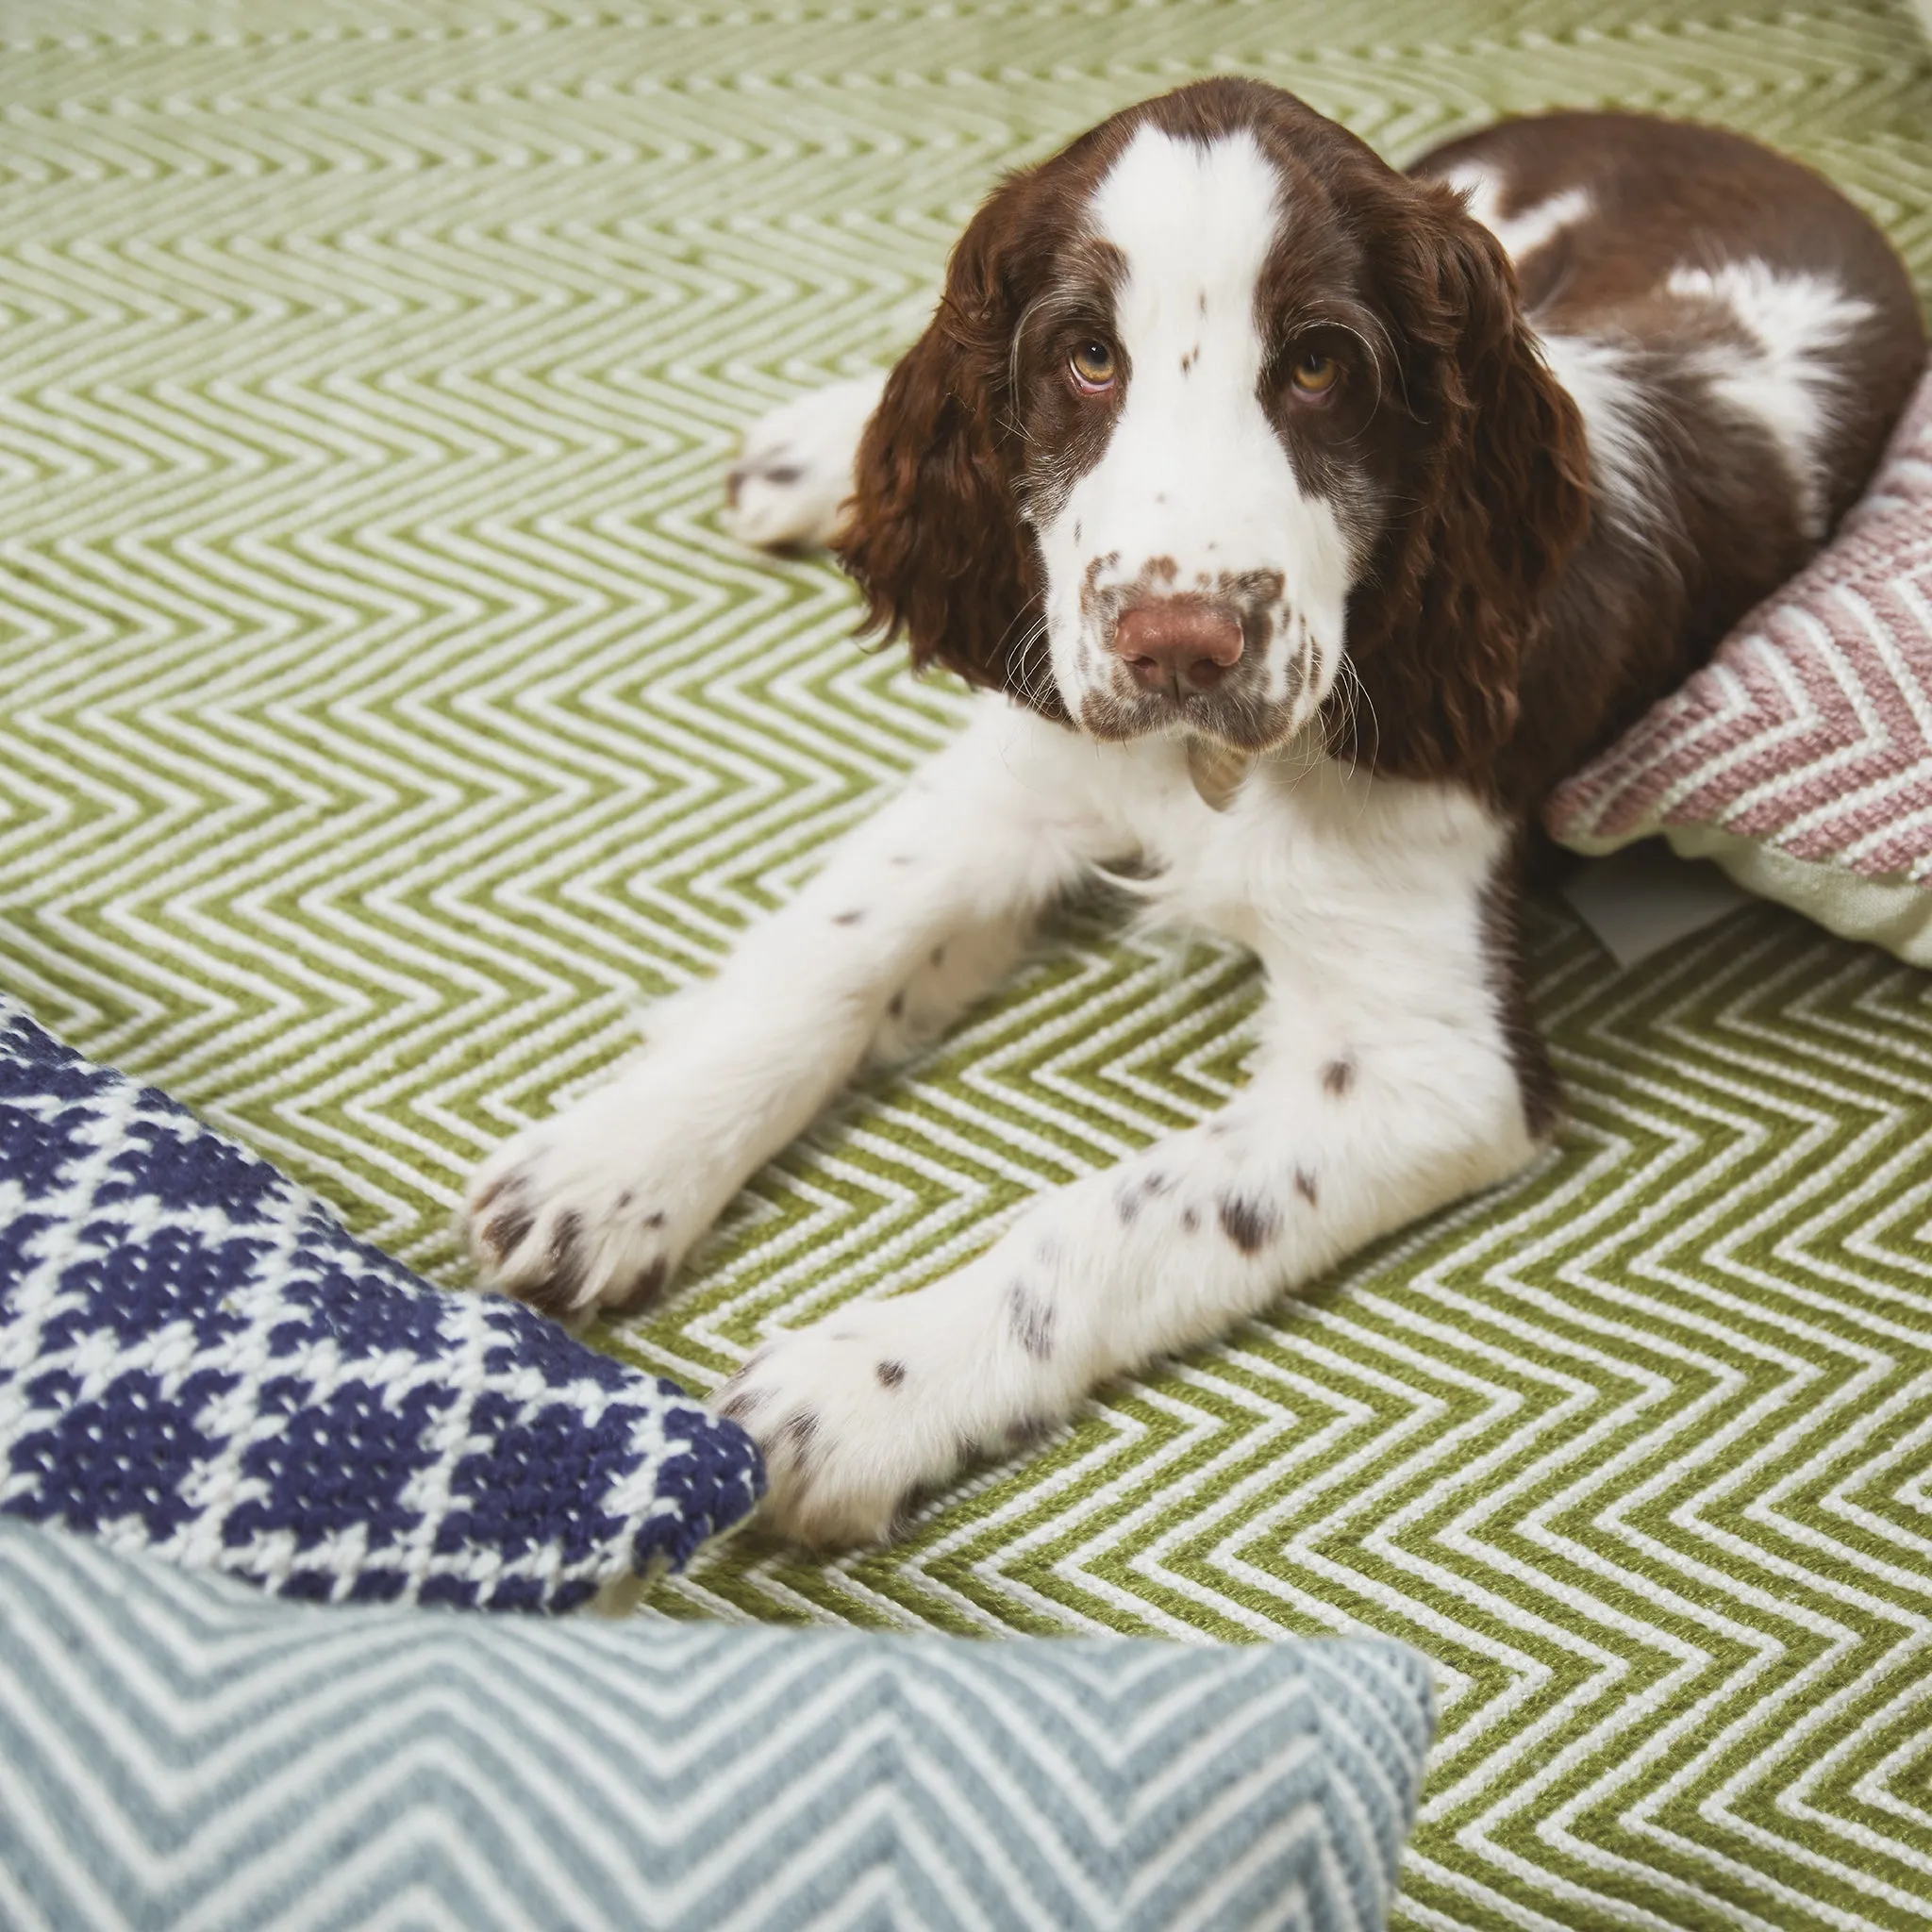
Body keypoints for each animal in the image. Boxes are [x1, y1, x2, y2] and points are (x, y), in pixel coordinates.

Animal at [459, 83, 1924, 1545]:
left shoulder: (1427, 1063)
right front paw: (613, 1166)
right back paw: (821, 455)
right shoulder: (1029, 764)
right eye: (1085, 357)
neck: (1211, 767)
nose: (1179, 644)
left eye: (1321, 365)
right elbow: (827, 953)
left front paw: (865, 1389)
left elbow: (1113, 1218)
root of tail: (1702, 131)